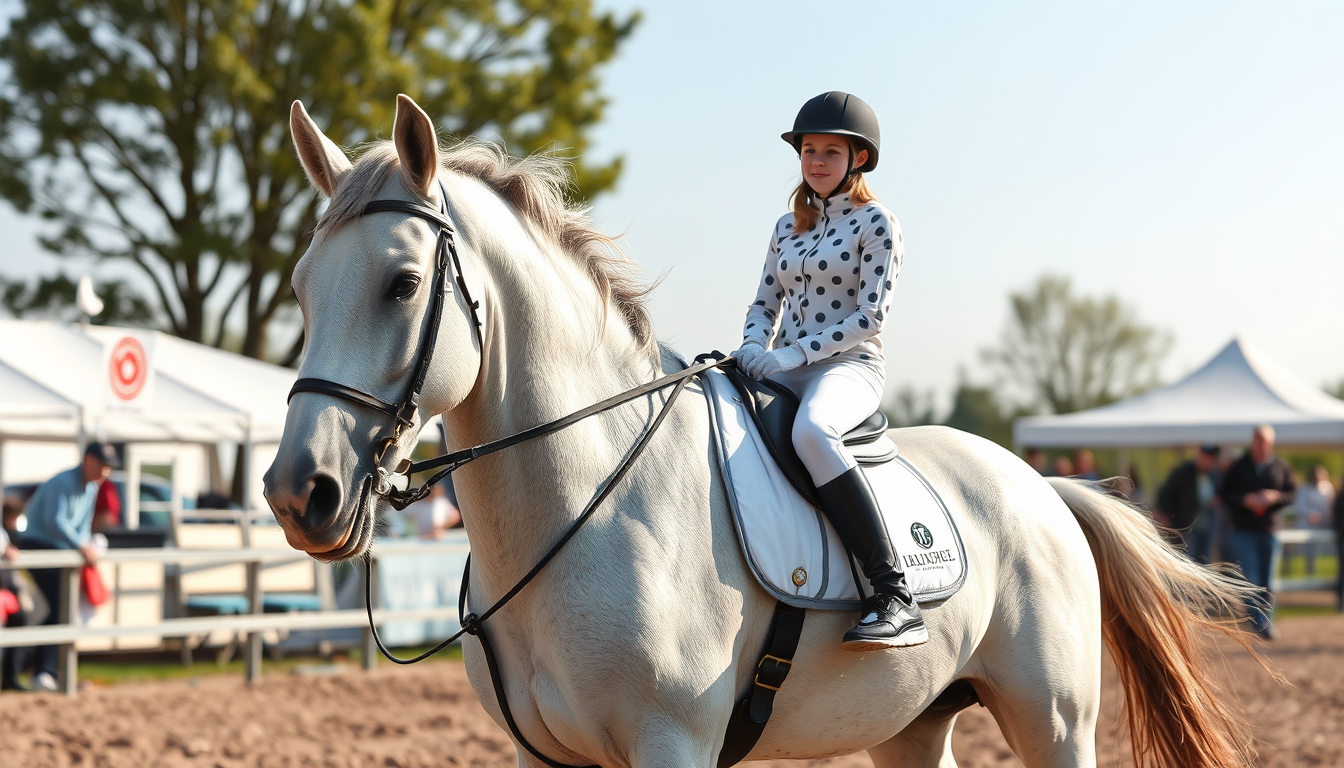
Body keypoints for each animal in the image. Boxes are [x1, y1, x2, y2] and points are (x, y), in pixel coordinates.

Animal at [264, 94, 1262, 768]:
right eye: (303, 290)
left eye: (401, 285)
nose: (297, 492)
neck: (587, 504)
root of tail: (1041, 488)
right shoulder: (541, 754)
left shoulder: (672, 744)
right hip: (913, 722)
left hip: (1054, 720)